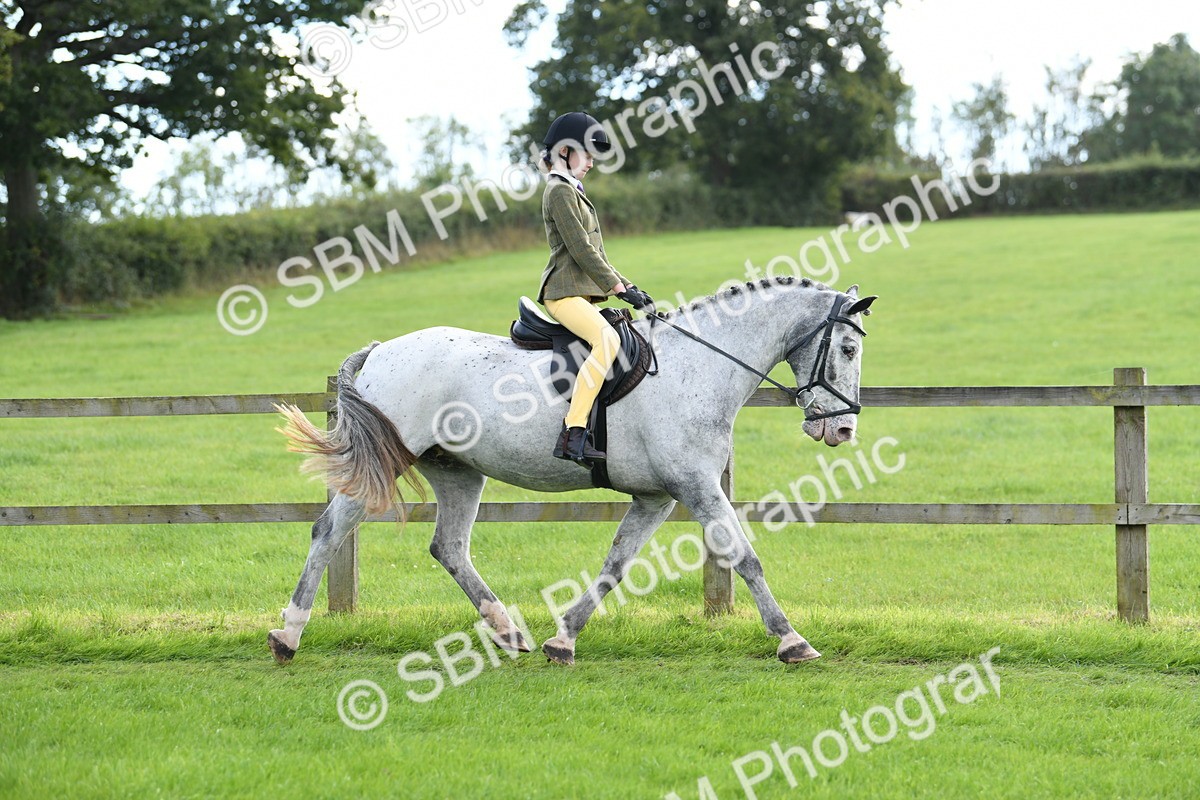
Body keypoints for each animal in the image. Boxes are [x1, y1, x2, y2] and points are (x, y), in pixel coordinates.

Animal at [269, 276, 876, 666]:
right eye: (847, 349)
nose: (843, 429)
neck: (700, 364)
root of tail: (380, 350)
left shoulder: (656, 497)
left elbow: (615, 566)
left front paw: (564, 639)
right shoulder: (697, 486)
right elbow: (745, 557)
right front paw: (792, 641)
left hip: (459, 471)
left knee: (450, 548)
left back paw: (509, 632)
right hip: (389, 461)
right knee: (328, 531)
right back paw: (288, 635)